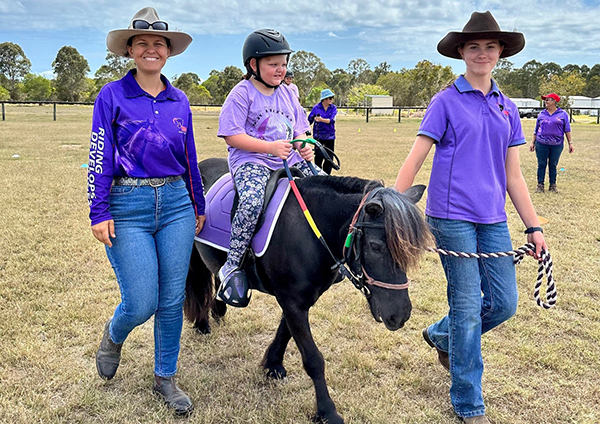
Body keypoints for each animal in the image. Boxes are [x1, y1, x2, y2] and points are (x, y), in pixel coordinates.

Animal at [185, 158, 434, 424]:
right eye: (376, 246)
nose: (400, 315)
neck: (310, 233)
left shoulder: (299, 299)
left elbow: (285, 332)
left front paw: (273, 364)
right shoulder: (292, 300)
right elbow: (313, 359)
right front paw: (327, 411)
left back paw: (219, 307)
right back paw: (202, 322)